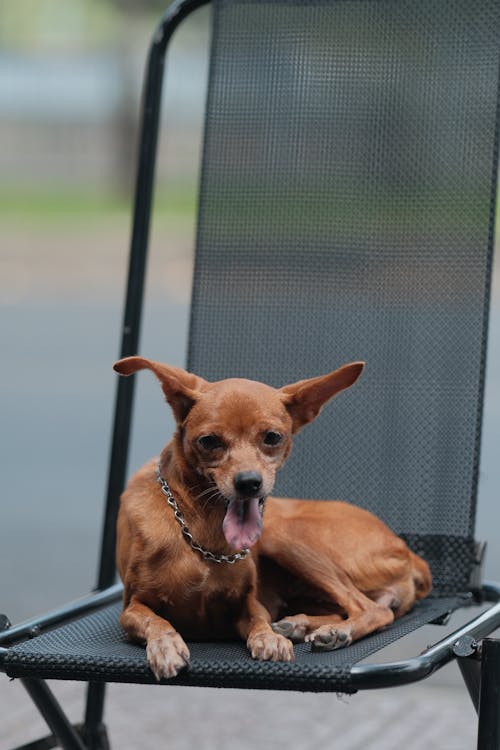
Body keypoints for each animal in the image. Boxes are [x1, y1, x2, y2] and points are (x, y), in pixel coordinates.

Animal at [113, 358, 430, 680]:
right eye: (209, 441)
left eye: (272, 437)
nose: (248, 483)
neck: (202, 529)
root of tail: (410, 553)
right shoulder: (131, 607)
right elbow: (156, 621)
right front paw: (166, 645)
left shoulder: (249, 602)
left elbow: (259, 620)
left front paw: (269, 639)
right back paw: (303, 624)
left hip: (282, 536)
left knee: (372, 608)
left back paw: (335, 632)